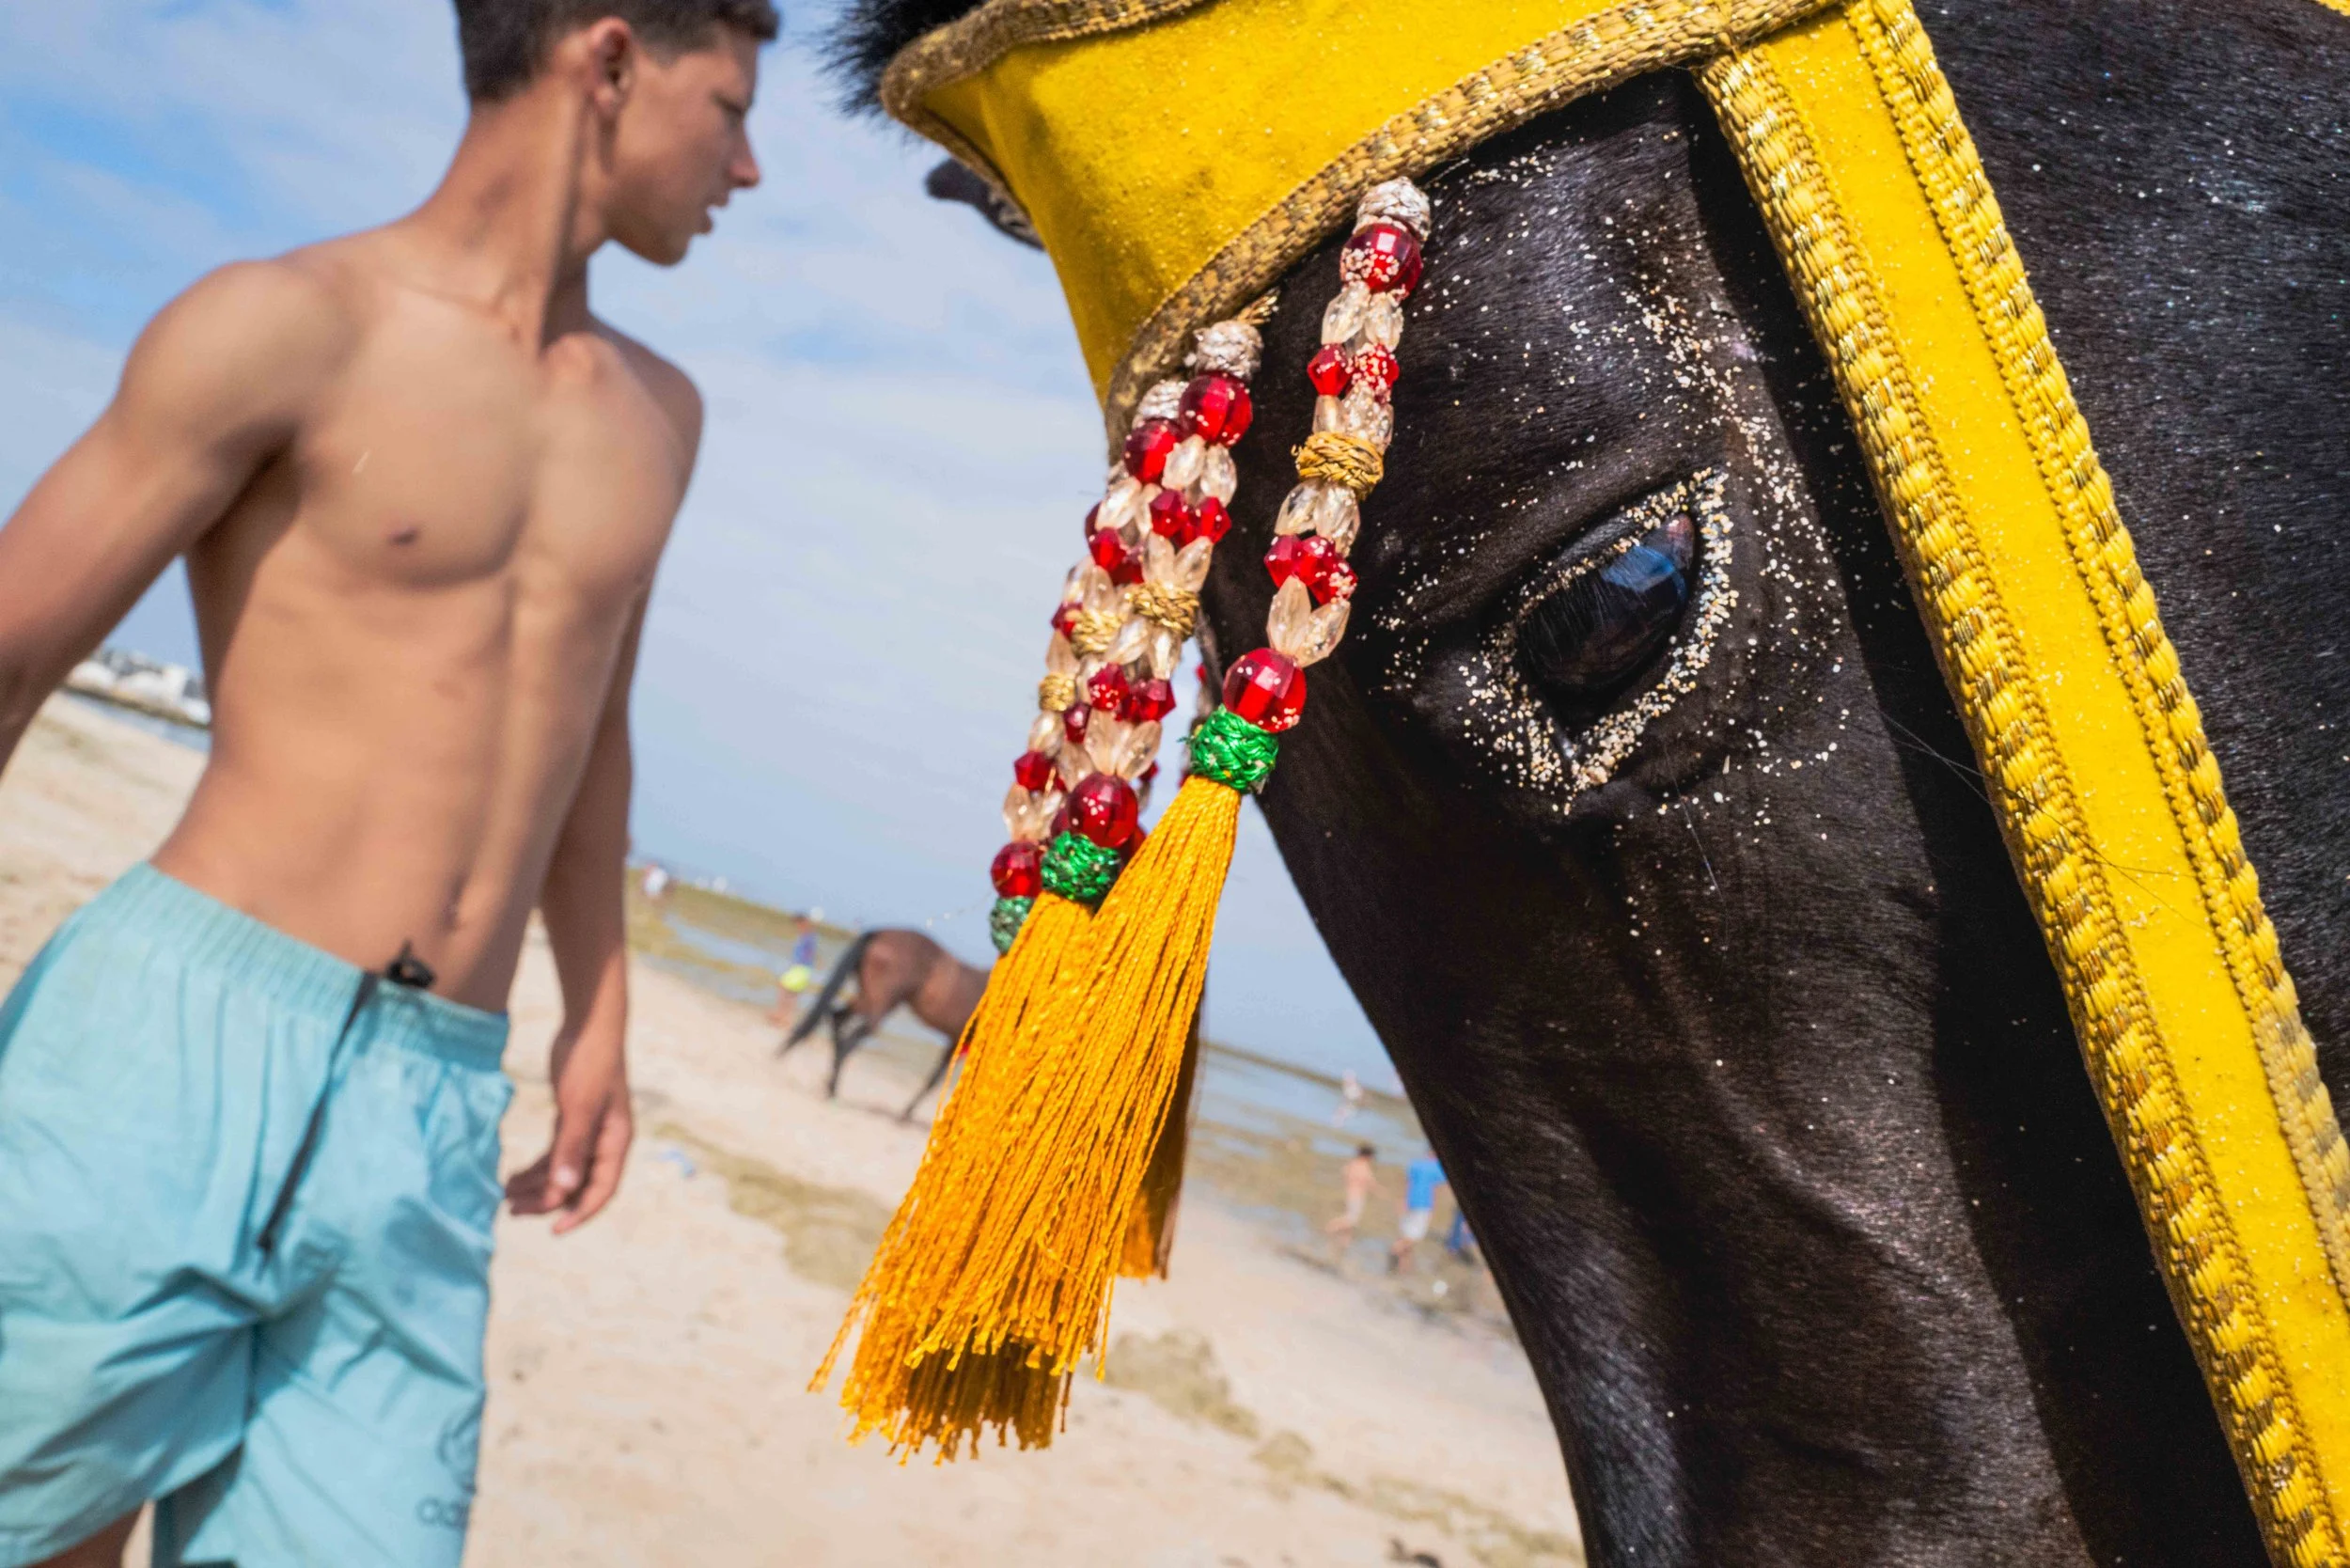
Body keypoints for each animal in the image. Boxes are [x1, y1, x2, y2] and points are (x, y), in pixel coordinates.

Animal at [778, 927, 989, 1118]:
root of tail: (879, 933)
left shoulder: (956, 1040)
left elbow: (939, 1079)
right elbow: (941, 1081)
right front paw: (905, 1116)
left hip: (867, 997)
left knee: (837, 1018)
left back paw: (829, 1081)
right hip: (882, 1004)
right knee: (849, 1040)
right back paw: (833, 1089)